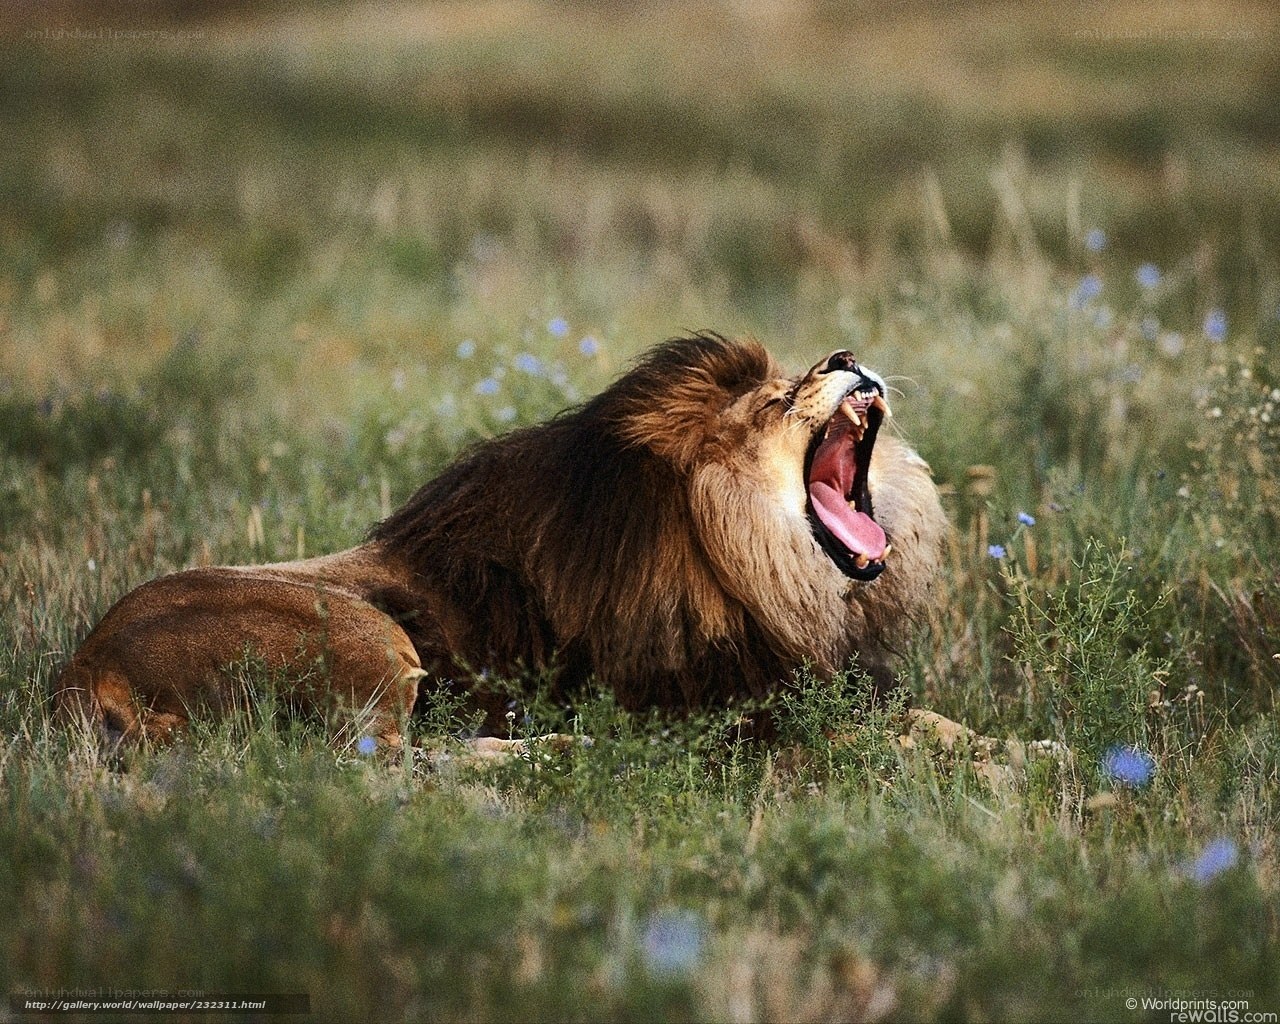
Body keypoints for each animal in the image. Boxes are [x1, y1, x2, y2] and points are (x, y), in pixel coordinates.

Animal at [55, 332, 958, 753]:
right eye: (775, 400)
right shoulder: (729, 709)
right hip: (363, 637)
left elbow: (928, 716)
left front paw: (984, 743)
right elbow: (866, 735)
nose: (845, 353)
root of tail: (84, 669)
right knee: (384, 763)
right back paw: (561, 749)